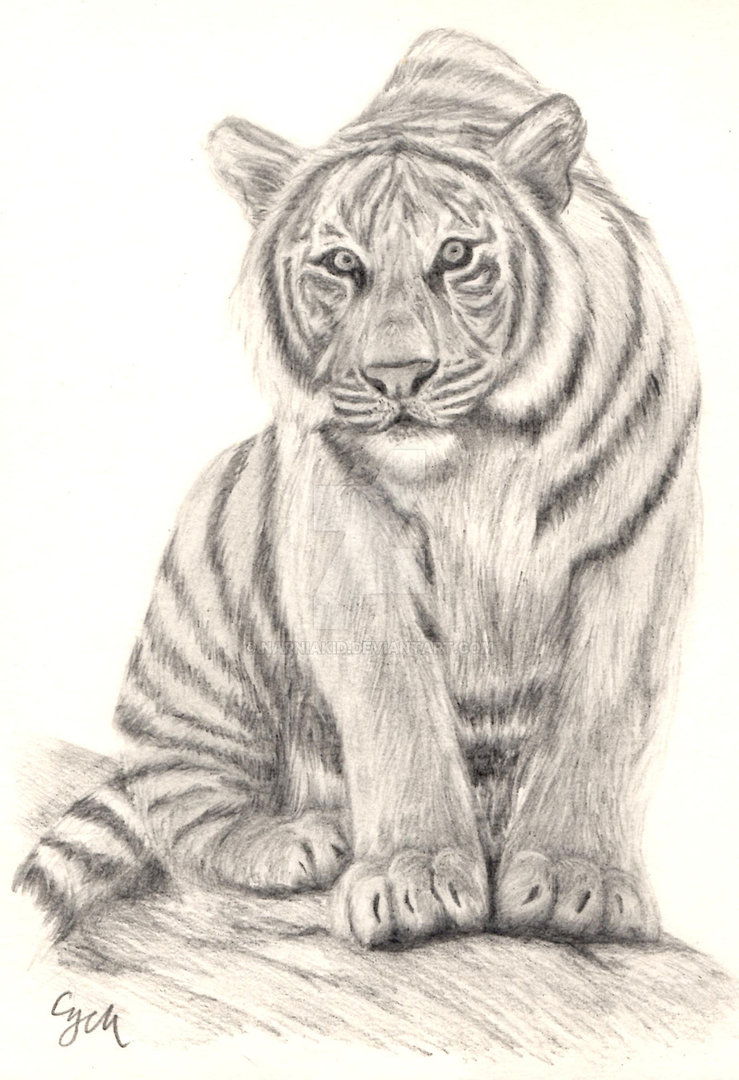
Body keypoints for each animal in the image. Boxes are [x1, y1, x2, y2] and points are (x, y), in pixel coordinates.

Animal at [14, 28, 700, 949]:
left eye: (455, 256)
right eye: (341, 265)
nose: (397, 375)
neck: (479, 454)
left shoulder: (637, 536)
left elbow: (603, 706)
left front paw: (572, 882)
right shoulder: (343, 535)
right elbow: (392, 702)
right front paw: (414, 878)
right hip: (201, 617)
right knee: (180, 800)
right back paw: (296, 841)